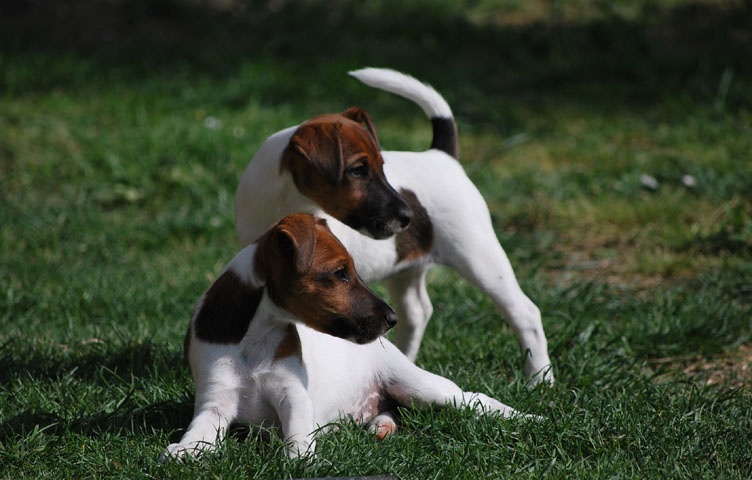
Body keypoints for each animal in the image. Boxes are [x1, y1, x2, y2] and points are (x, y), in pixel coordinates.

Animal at [163, 215, 536, 462]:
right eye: (339, 274)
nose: (392, 319)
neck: (256, 339)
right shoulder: (216, 402)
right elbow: (200, 433)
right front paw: (183, 449)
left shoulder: (292, 395)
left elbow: (297, 435)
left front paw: (300, 460)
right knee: (389, 410)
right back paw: (378, 427)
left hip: (419, 387)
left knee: (474, 398)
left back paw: (529, 418)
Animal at [235, 67, 552, 384]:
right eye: (358, 171)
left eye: (382, 167)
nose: (407, 217)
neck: (287, 200)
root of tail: (442, 157)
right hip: (406, 268)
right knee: (417, 312)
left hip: (479, 256)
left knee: (526, 312)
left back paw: (539, 379)